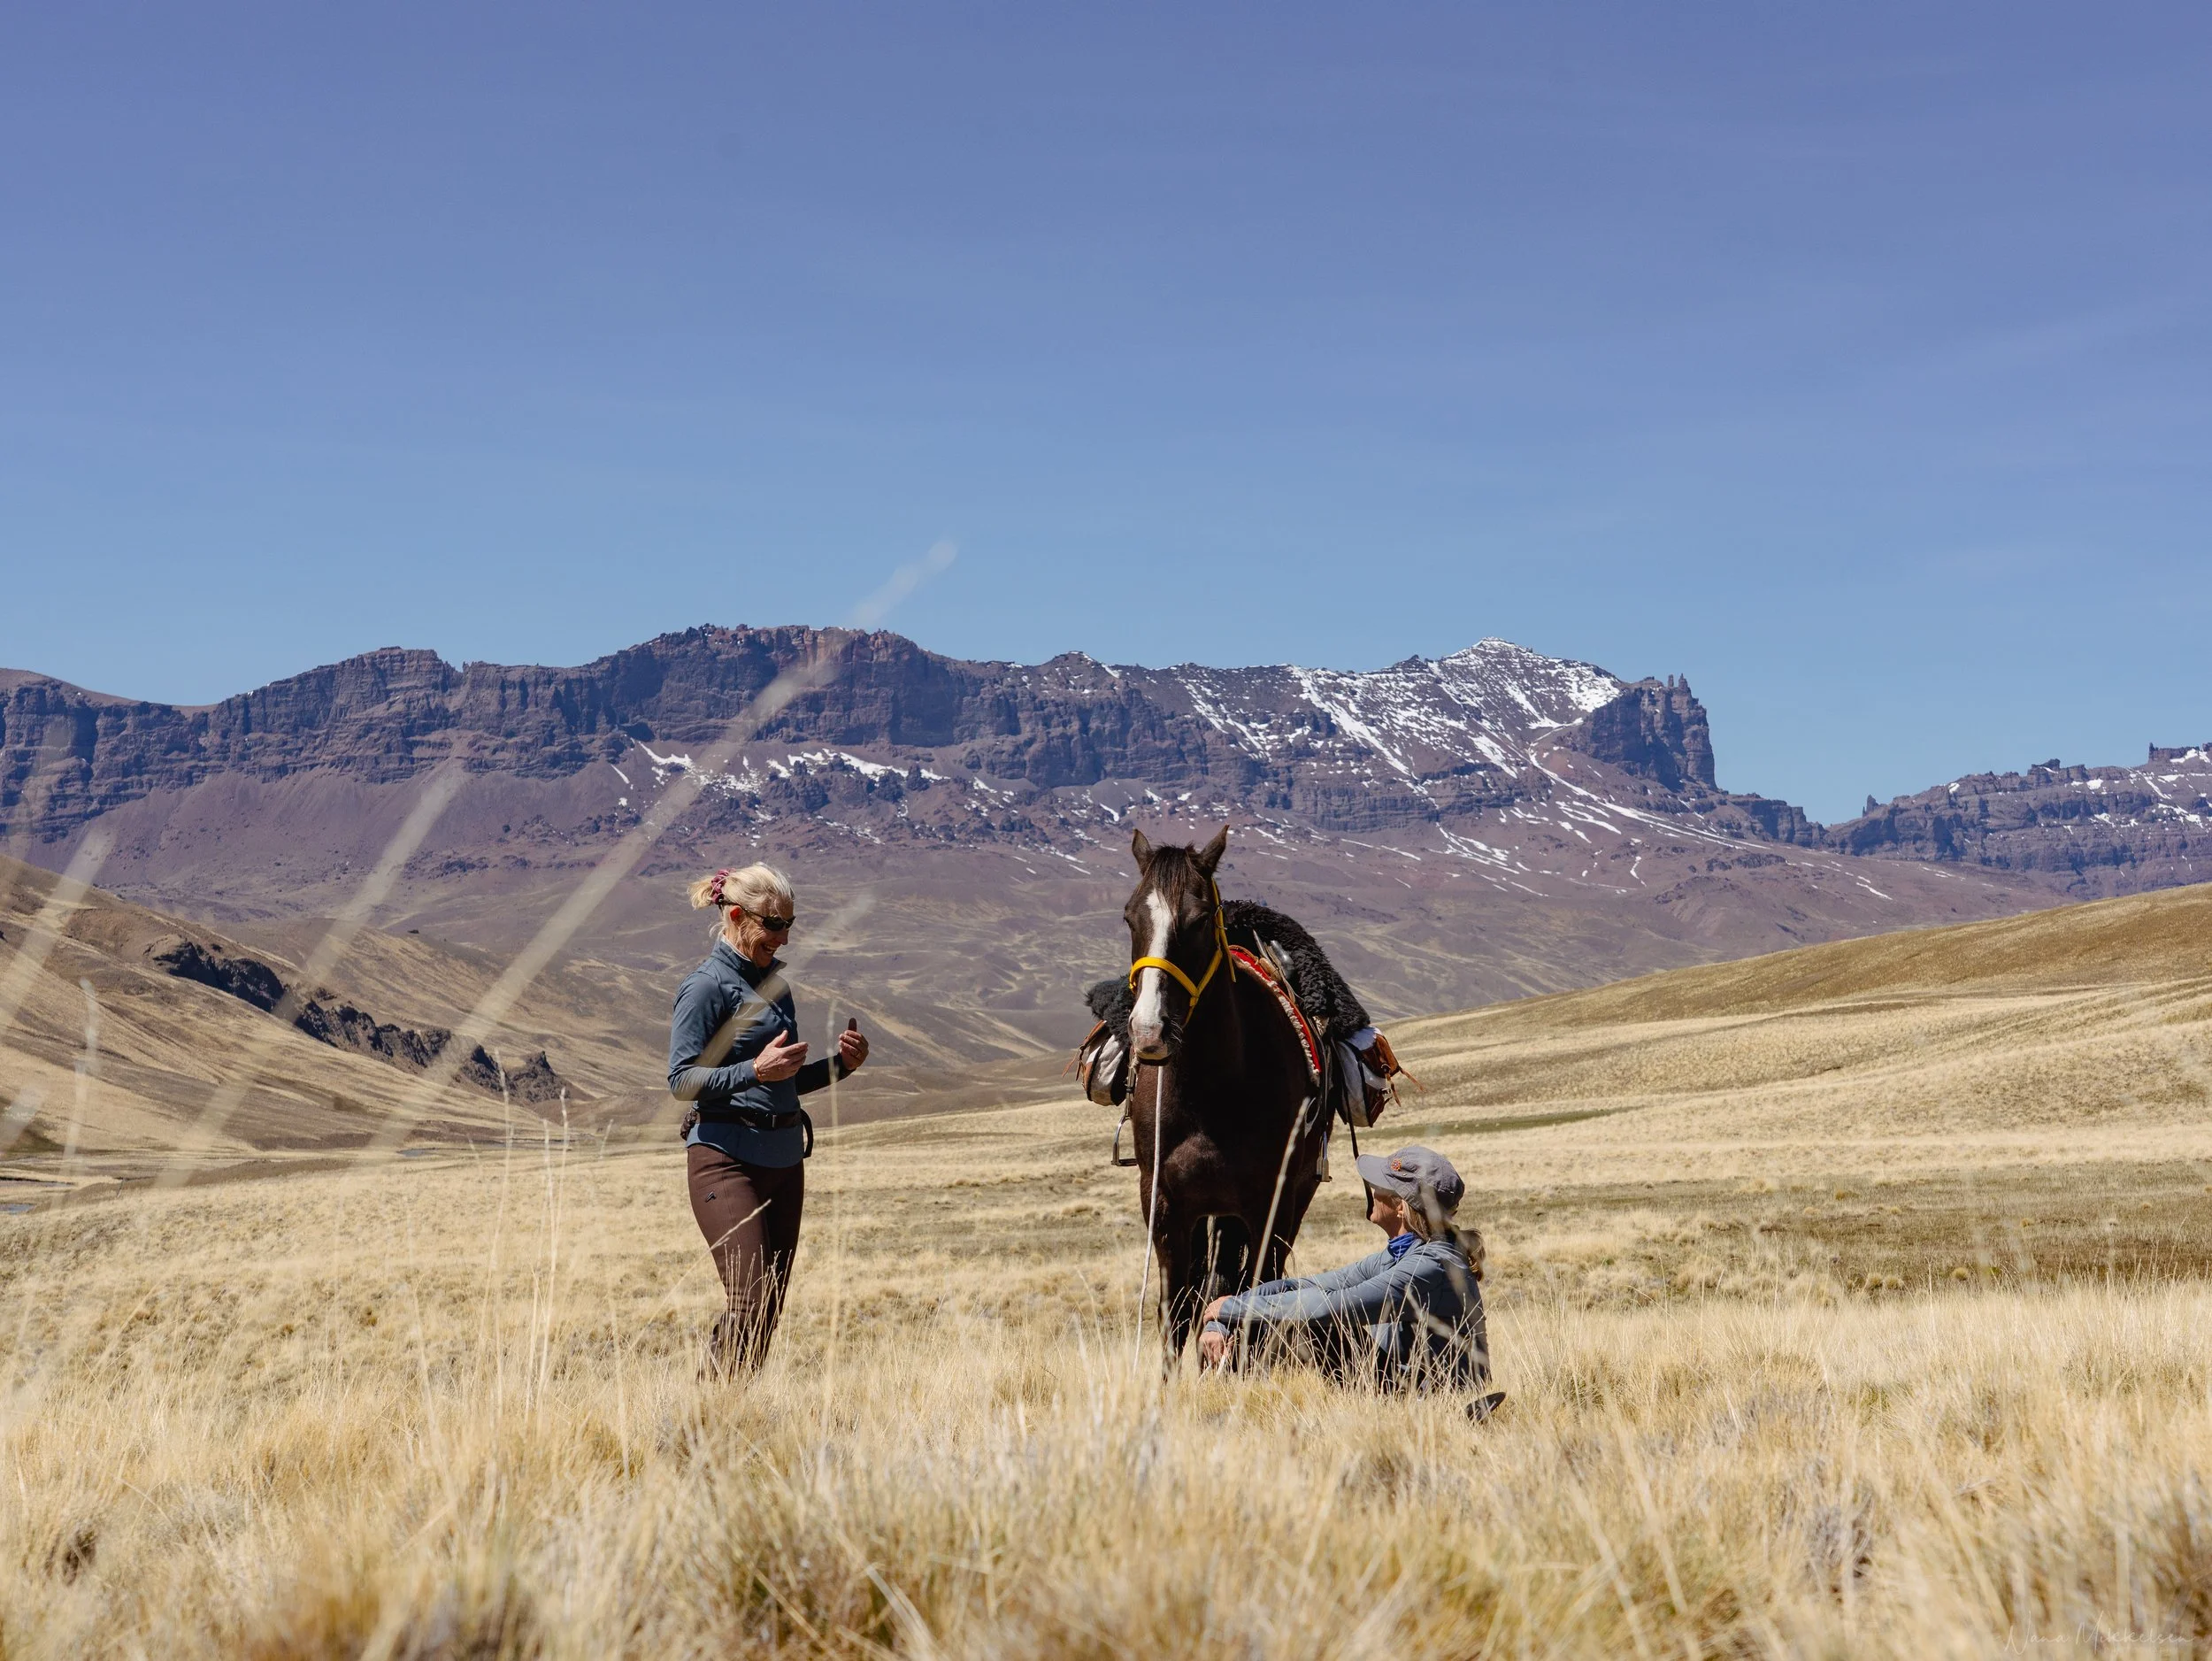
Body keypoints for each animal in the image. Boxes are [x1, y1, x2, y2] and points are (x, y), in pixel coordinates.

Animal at [1121, 825, 1331, 1365]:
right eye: (1130, 916)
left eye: (1197, 920)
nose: (1149, 1030)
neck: (1211, 1093)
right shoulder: (1166, 1207)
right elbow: (1175, 1312)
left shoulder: (1267, 1204)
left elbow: (1255, 1299)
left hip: (1292, 1199)